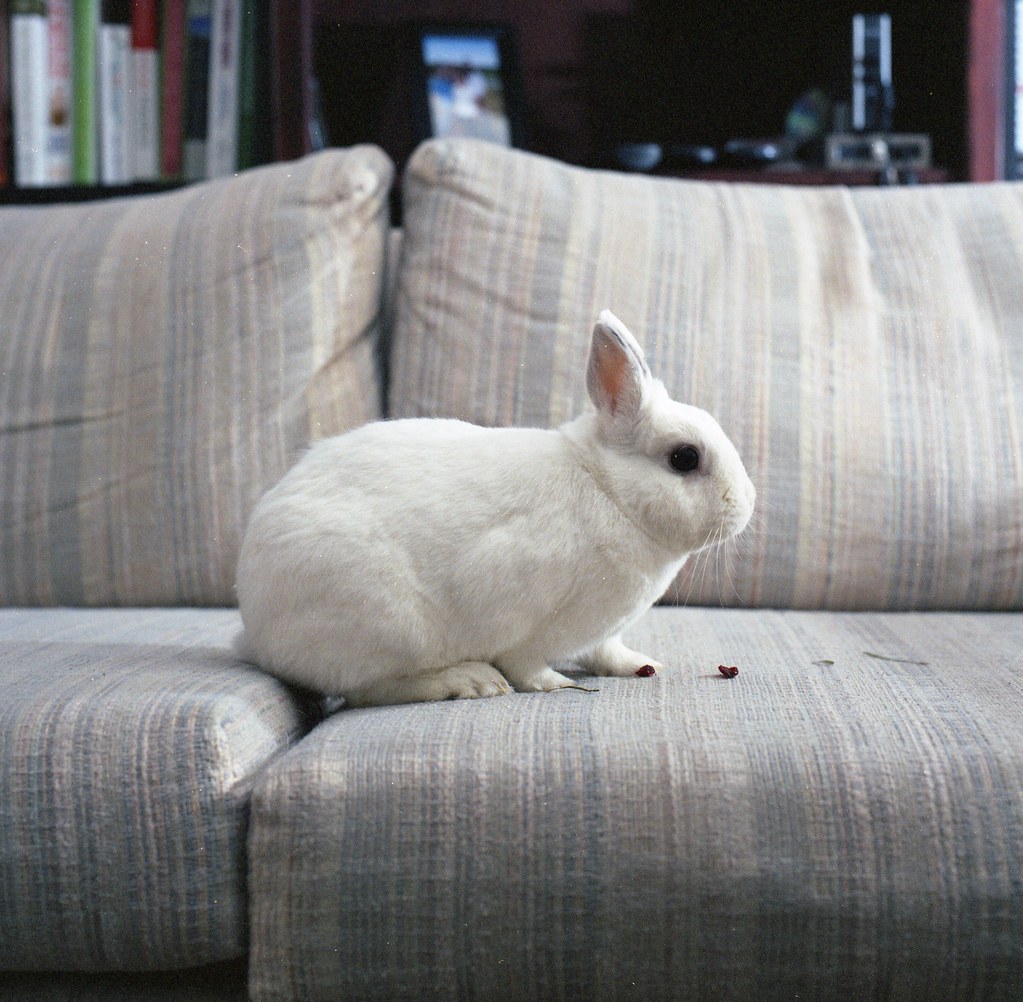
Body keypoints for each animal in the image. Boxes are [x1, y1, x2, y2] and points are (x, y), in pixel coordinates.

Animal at [235, 310, 755, 707]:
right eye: (684, 458)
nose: (747, 502)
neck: (607, 489)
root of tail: (256, 632)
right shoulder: (523, 623)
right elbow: (526, 664)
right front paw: (555, 684)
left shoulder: (602, 634)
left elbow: (607, 652)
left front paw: (641, 664)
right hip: (388, 625)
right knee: (371, 690)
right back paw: (471, 681)